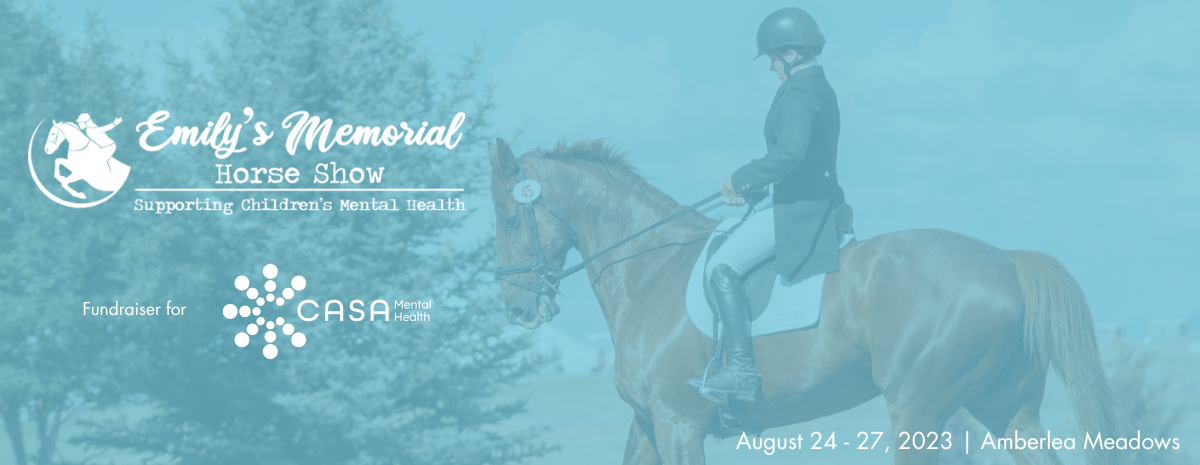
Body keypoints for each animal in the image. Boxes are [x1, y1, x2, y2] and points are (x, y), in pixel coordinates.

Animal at [488, 139, 1126, 465]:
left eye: (510, 216)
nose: (517, 310)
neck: (649, 270)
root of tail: (1004, 260)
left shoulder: (678, 423)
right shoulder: (648, 423)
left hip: (917, 411)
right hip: (1006, 407)